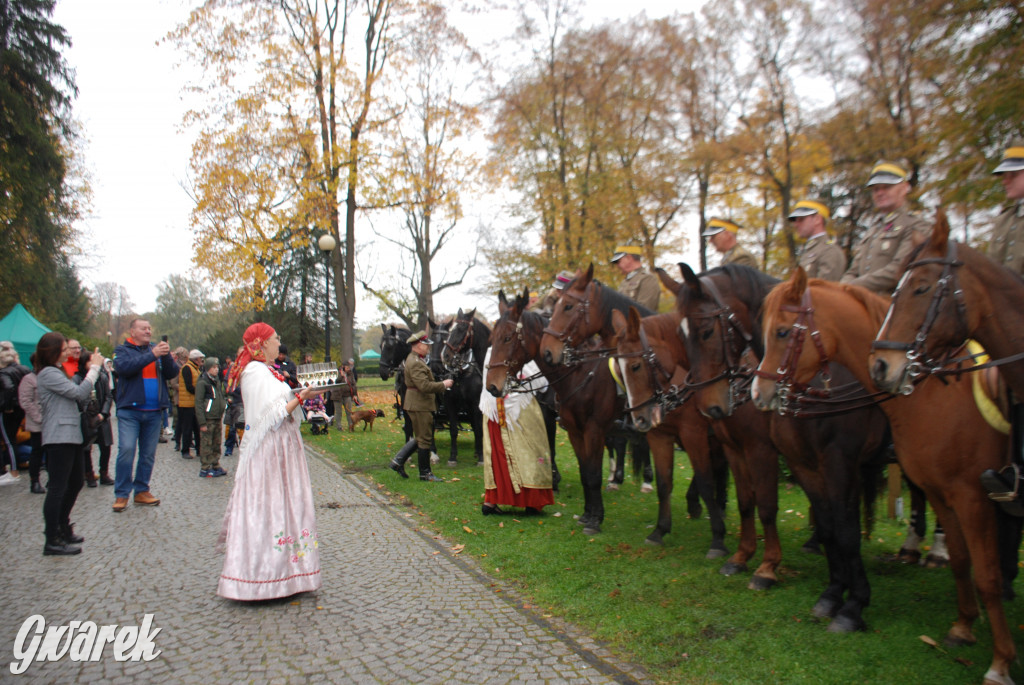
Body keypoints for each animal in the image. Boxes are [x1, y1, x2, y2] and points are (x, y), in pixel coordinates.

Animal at [667, 264, 892, 626]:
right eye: (680, 334)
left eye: (706, 331)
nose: (710, 407)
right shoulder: (752, 452)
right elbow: (753, 504)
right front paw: (741, 557)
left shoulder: (792, 454)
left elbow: (776, 509)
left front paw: (768, 568)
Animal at [749, 268, 1019, 683]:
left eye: (781, 331)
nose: (757, 394)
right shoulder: (806, 467)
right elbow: (829, 529)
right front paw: (832, 594)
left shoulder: (840, 465)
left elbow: (846, 533)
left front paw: (853, 606)